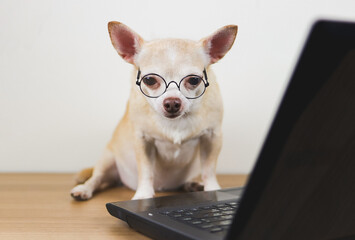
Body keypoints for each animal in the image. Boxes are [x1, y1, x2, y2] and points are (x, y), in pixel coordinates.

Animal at [70, 22, 238, 201]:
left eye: (194, 80)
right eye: (149, 80)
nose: (172, 102)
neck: (176, 122)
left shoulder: (212, 137)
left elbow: (209, 170)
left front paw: (213, 190)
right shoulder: (143, 141)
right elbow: (146, 172)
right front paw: (143, 196)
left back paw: (191, 184)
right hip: (108, 159)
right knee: (97, 177)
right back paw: (84, 189)